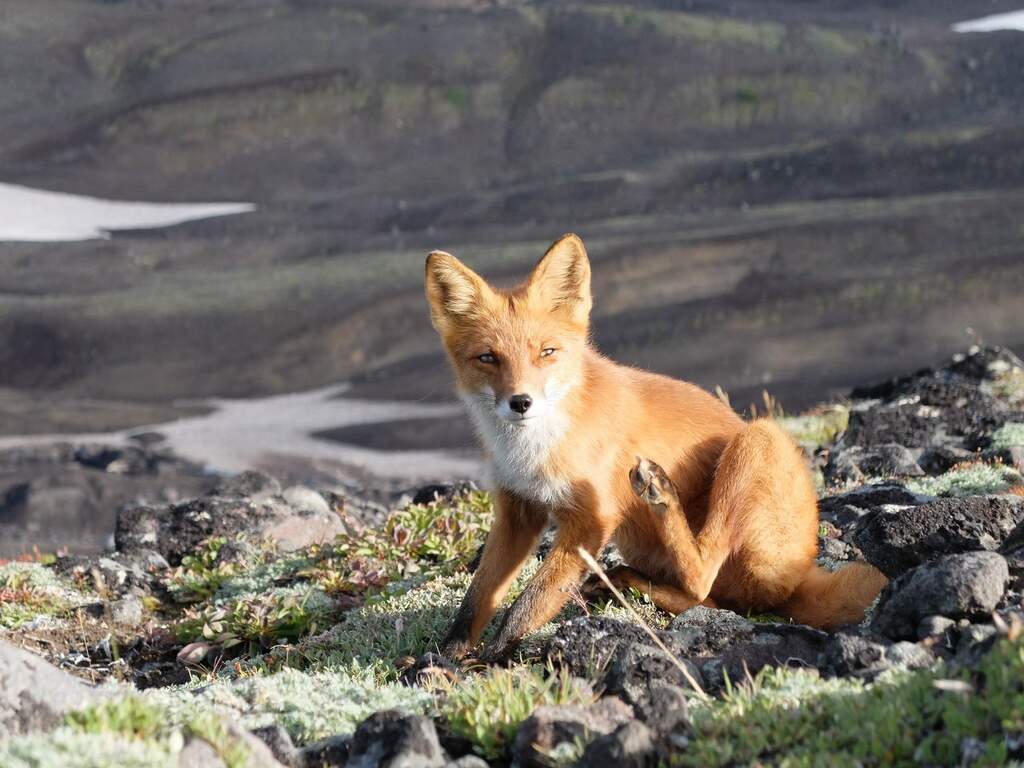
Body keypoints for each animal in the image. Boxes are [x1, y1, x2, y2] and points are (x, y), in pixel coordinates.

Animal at [423, 234, 888, 663]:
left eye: (546, 352)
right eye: (488, 358)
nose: (520, 402)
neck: (532, 453)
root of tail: (804, 569)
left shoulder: (590, 520)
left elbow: (531, 600)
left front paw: (492, 655)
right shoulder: (518, 512)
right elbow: (476, 598)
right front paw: (444, 657)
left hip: (758, 439)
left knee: (704, 577)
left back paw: (661, 497)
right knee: (707, 599)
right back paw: (626, 581)